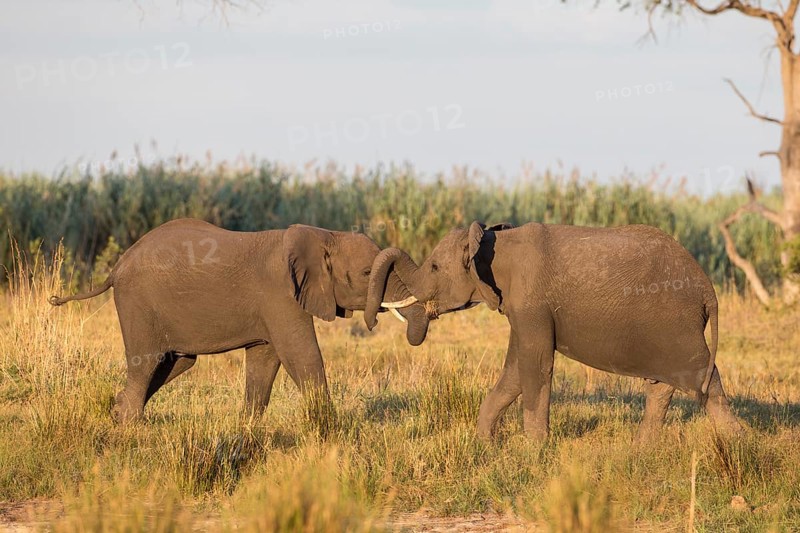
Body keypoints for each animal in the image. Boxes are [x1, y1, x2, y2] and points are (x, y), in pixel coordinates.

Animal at [49, 218, 429, 422]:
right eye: (366, 273)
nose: (373, 321)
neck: (324, 234)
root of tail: (116, 267)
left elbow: (266, 359)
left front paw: (247, 428)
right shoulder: (279, 295)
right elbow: (301, 354)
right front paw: (329, 429)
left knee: (175, 363)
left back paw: (116, 412)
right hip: (138, 303)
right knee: (146, 362)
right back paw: (131, 425)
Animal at [366, 221, 743, 441]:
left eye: (433, 267)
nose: (370, 323)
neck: (495, 240)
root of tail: (707, 289)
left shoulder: (531, 302)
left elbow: (536, 364)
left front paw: (533, 453)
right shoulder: (521, 306)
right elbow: (516, 369)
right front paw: (486, 444)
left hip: (677, 323)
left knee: (704, 378)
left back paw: (738, 442)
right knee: (664, 384)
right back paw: (642, 450)